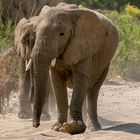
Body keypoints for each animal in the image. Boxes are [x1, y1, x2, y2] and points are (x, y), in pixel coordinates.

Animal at [17, 2, 118, 135]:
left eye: (62, 34)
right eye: (35, 32)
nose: (36, 125)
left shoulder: (85, 46)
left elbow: (81, 77)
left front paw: (74, 127)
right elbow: (56, 80)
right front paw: (58, 127)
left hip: (105, 63)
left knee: (93, 89)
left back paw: (93, 128)